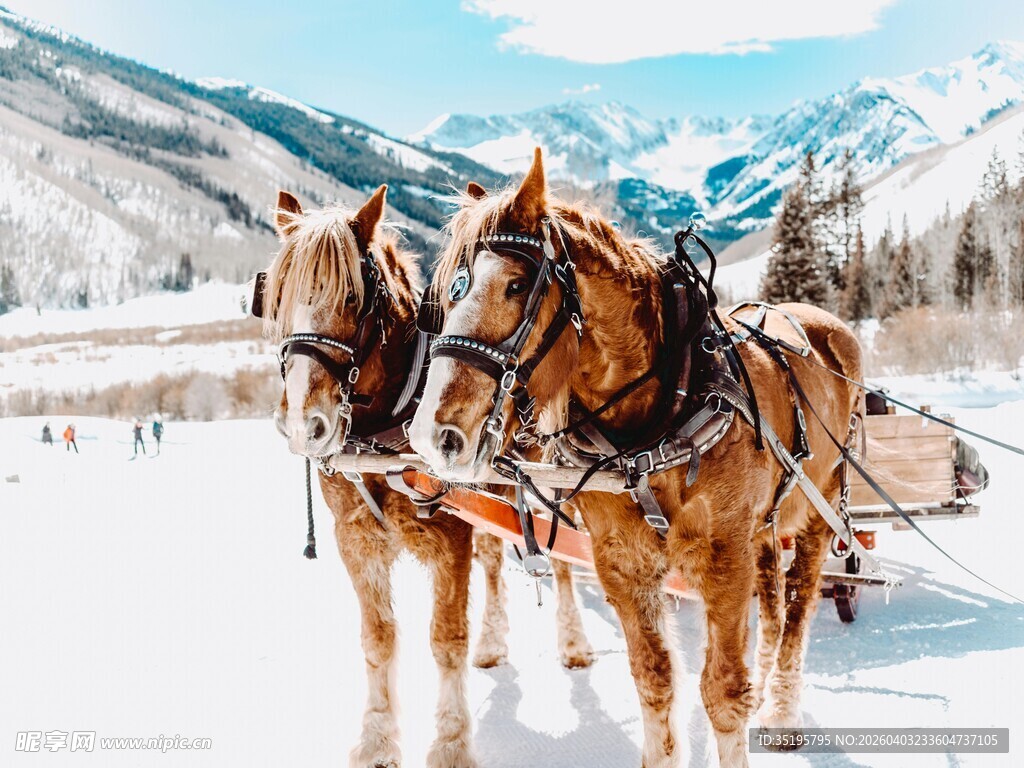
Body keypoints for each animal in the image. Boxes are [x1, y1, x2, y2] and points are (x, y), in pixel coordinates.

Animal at [260, 186, 594, 768]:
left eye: (354, 299)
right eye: (276, 299)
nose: (305, 424)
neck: (382, 435)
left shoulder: (449, 538)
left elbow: (445, 639)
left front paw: (452, 744)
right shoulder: (356, 541)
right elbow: (377, 639)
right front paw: (376, 739)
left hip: (548, 480)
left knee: (561, 557)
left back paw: (572, 642)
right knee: (494, 559)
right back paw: (493, 642)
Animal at [408, 149, 864, 768]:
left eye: (517, 284)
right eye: (448, 293)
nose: (434, 434)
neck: (659, 416)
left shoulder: (724, 558)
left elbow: (723, 692)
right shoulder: (624, 565)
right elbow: (655, 681)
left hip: (820, 510)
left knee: (797, 606)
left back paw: (783, 711)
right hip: (766, 525)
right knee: (771, 601)